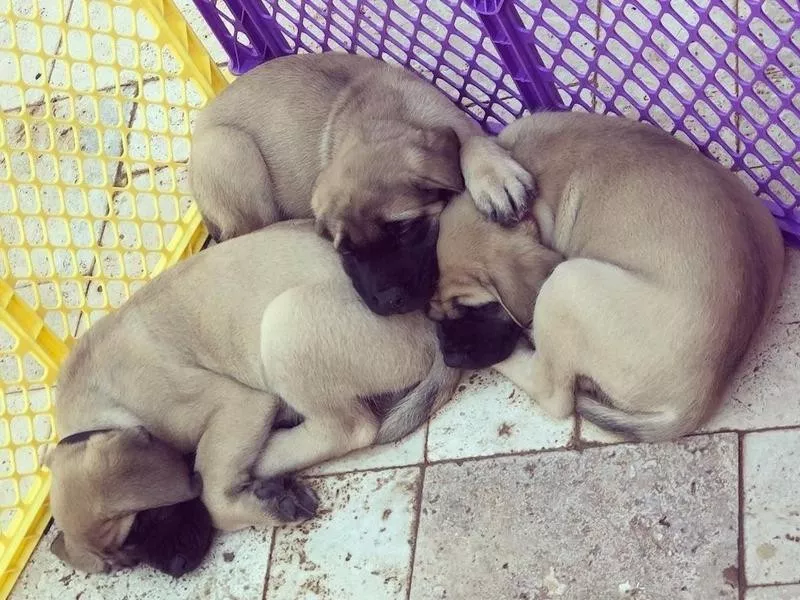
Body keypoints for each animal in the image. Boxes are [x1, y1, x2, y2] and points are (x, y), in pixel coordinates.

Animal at [43, 221, 460, 576]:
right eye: (128, 560)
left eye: (141, 523)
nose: (178, 568)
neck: (107, 406)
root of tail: (432, 325)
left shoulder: (237, 403)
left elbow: (212, 495)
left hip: (285, 325)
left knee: (349, 428)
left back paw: (266, 455)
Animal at [191, 52, 536, 314]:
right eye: (346, 250)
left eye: (403, 228)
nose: (389, 302)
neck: (388, 120)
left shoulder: (455, 122)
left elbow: (470, 142)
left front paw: (495, 176)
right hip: (229, 147)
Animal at [428, 111, 784, 440]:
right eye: (432, 315)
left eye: (483, 308)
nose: (450, 356)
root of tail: (700, 399)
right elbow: (470, 141)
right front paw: (494, 180)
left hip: (566, 283)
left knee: (553, 393)